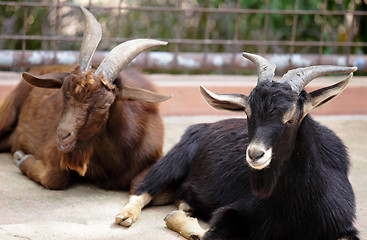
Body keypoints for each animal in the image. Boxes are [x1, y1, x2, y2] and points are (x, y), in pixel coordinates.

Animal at [0, 7, 171, 190]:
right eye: (63, 94)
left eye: (104, 105)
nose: (63, 135)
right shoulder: (55, 150)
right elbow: (55, 177)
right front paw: (22, 158)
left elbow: (141, 184)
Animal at [115, 53, 360, 240]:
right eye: (248, 114)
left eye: (291, 119)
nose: (255, 154)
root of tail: (202, 126)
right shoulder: (235, 211)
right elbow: (209, 234)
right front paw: (176, 219)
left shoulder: (342, 226)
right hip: (174, 160)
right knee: (143, 188)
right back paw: (127, 216)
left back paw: (186, 205)